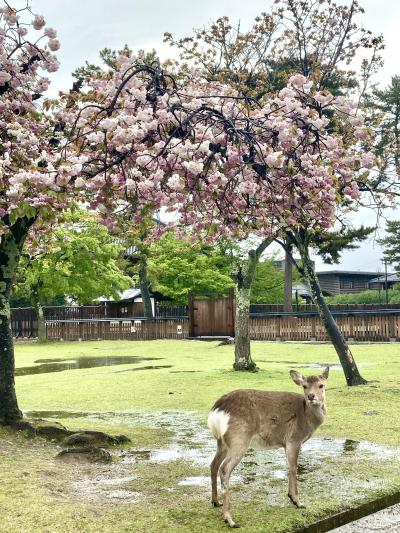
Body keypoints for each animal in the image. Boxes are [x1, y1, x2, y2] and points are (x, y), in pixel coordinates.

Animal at [208, 366, 330, 528]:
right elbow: (294, 468)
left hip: (222, 442)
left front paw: (290, 496)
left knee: (213, 464)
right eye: (304, 386)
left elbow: (289, 467)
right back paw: (230, 520)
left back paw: (216, 502)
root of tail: (216, 410)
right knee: (224, 468)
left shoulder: (286, 444)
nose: (311, 396)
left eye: (321, 385)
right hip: (239, 439)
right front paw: (298, 502)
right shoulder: (294, 439)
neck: (307, 419)